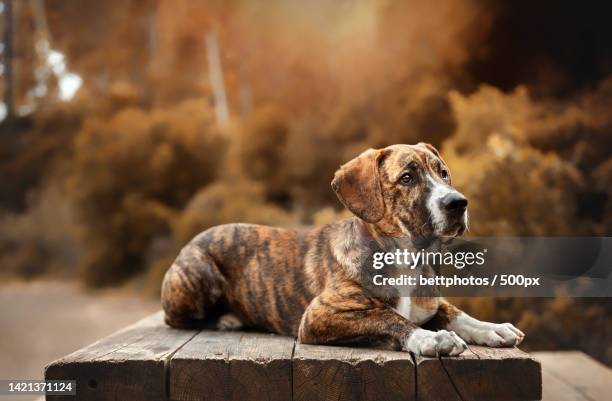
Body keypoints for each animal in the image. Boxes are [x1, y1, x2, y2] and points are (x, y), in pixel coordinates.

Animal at [160, 142, 524, 354]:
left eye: (443, 173)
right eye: (407, 178)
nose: (458, 203)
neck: (405, 259)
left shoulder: (432, 302)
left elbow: (455, 313)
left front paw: (491, 329)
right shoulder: (320, 315)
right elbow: (386, 317)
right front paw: (430, 338)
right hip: (198, 278)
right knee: (173, 317)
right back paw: (226, 320)